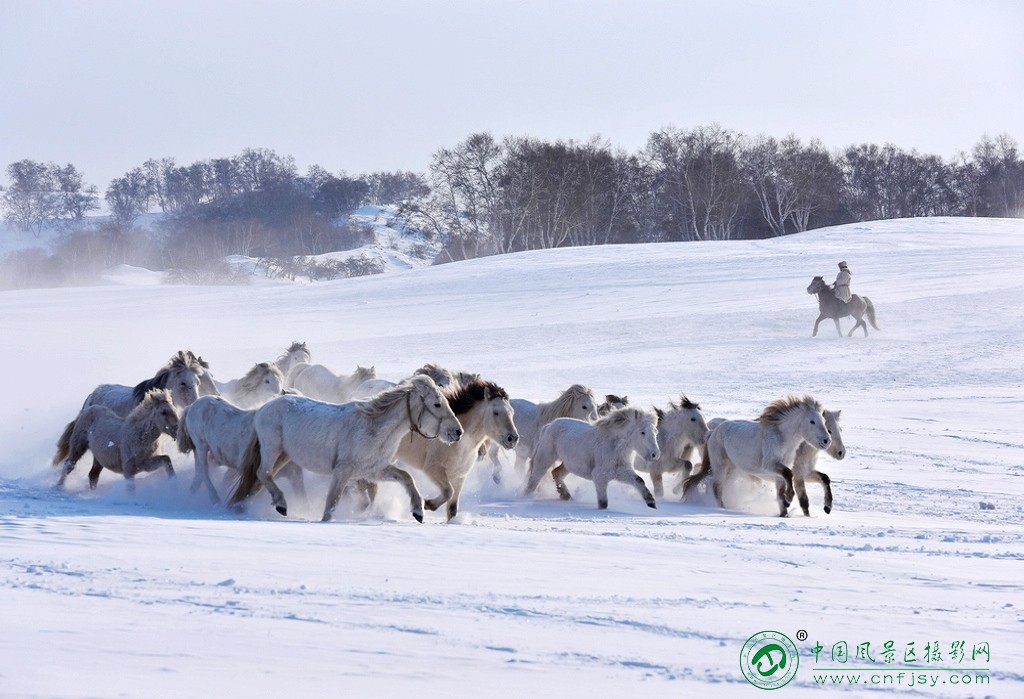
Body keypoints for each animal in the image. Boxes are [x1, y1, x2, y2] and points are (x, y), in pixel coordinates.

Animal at [176, 397, 305, 505]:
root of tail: (191, 407)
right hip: (201, 445)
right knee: (203, 471)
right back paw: (214, 499)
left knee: (199, 474)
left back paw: (190, 495)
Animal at [231, 376, 464, 519]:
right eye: (437, 404)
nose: (458, 432)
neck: (373, 428)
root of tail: (264, 406)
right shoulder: (343, 470)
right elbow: (331, 503)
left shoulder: (373, 470)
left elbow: (406, 477)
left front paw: (419, 511)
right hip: (272, 449)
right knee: (263, 473)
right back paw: (280, 504)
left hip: (284, 456)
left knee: (258, 481)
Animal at [524, 407, 659, 511]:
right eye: (642, 432)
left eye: (656, 432)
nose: (655, 454)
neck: (614, 446)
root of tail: (548, 426)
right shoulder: (600, 476)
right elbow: (603, 503)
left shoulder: (621, 472)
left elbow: (639, 480)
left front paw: (651, 503)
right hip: (545, 459)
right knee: (534, 479)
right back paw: (526, 497)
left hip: (569, 465)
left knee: (556, 473)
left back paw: (567, 496)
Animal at [679, 397, 831, 515]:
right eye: (812, 421)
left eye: (824, 421)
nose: (827, 441)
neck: (782, 438)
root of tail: (713, 432)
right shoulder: (770, 465)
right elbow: (789, 474)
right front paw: (788, 498)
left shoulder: (779, 473)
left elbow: (782, 490)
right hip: (720, 466)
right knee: (717, 488)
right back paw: (723, 509)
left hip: (731, 469)